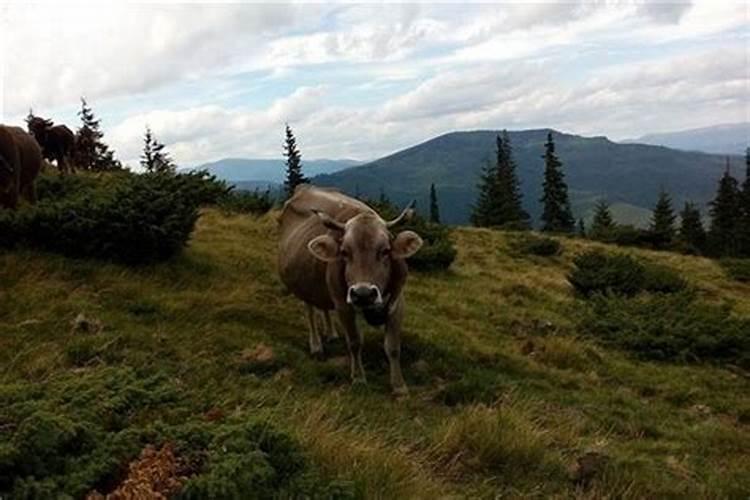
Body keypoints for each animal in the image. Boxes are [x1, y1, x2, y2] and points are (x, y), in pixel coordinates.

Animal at [280, 184, 426, 394]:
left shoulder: (397, 303)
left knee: (324, 306)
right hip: (304, 286)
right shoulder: (343, 305)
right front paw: (358, 378)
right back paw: (316, 345)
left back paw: (332, 334)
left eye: (385, 251)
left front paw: (399, 386)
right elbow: (355, 342)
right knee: (310, 311)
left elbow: (393, 347)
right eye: (344, 252)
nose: (363, 294)